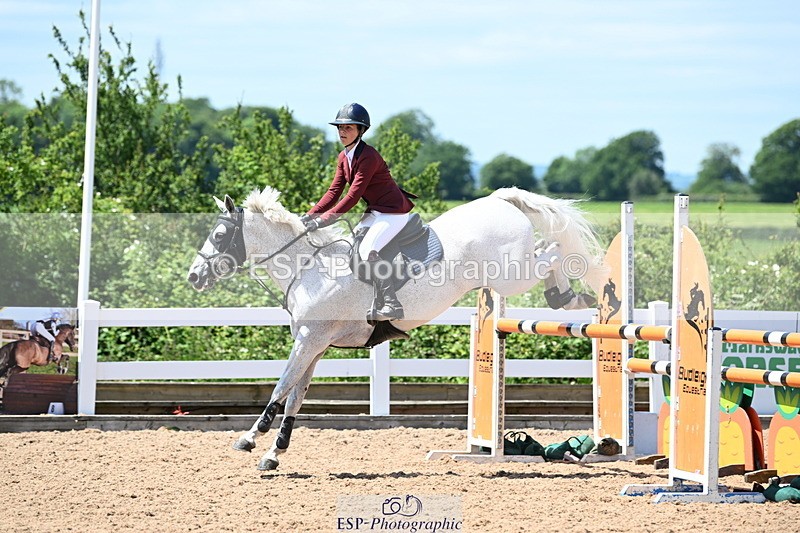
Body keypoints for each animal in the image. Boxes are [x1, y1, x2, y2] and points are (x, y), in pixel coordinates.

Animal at [187, 186, 606, 470]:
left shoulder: (308, 341)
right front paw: (275, 453)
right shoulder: (314, 345)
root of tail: (498, 200)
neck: (308, 268)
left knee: (554, 250)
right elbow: (295, 396)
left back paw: (570, 296)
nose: (193, 277)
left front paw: (249, 438)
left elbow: (280, 388)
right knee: (550, 249)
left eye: (220, 235)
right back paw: (569, 298)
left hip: (512, 276)